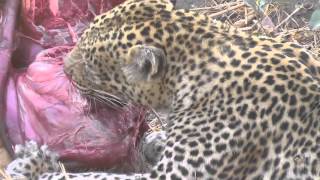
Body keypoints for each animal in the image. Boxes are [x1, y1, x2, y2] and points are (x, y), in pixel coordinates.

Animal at [4, 0, 320, 179]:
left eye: (92, 66)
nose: (65, 70)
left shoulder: (173, 176)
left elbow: (95, 177)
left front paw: (36, 166)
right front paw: (154, 141)